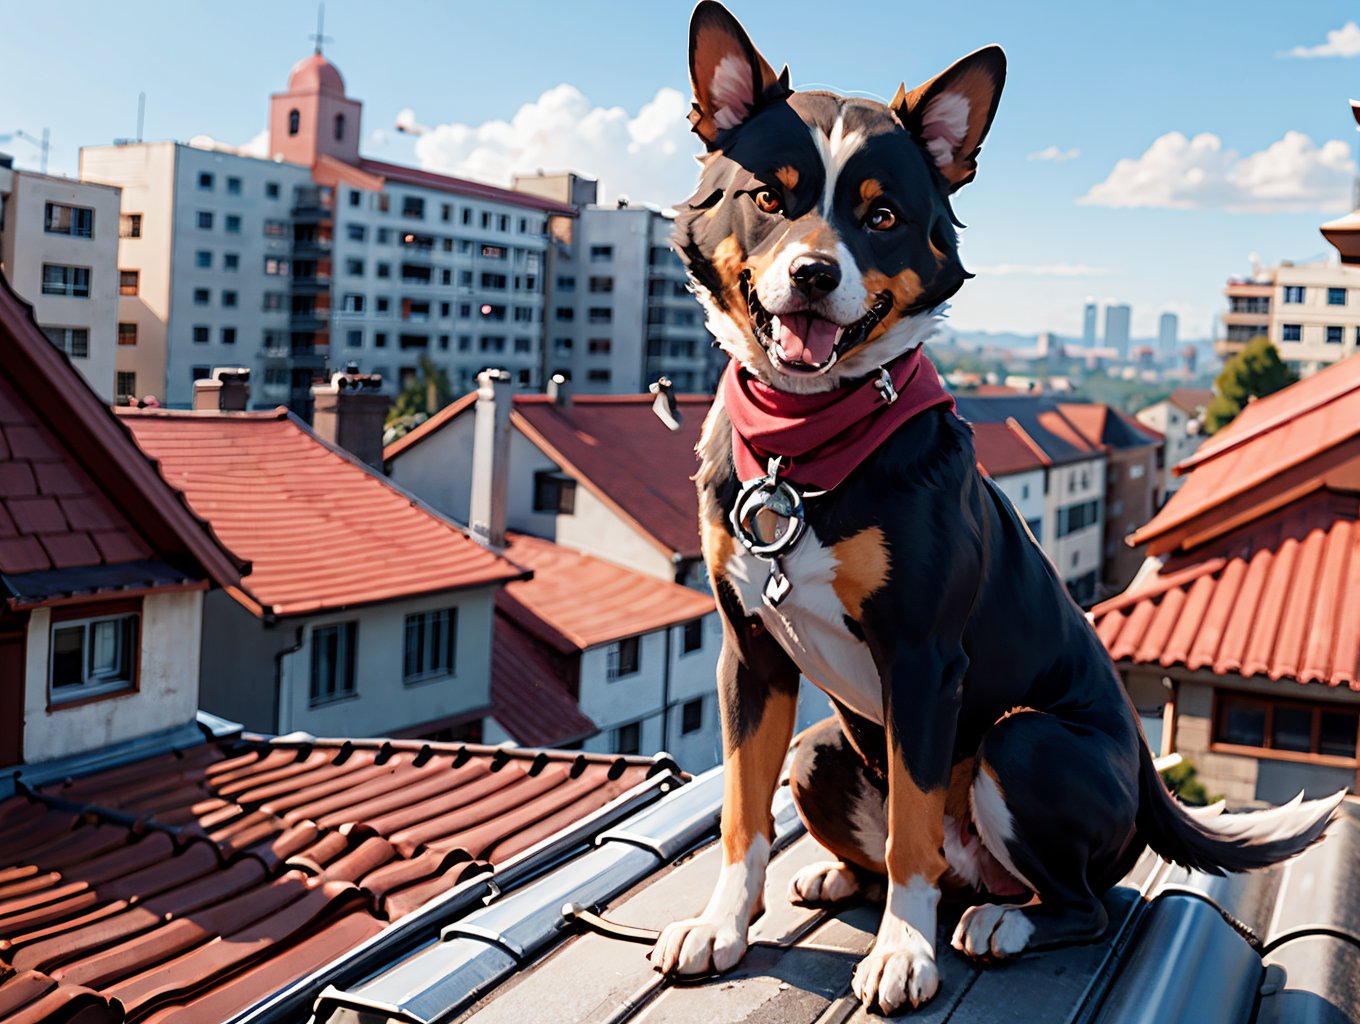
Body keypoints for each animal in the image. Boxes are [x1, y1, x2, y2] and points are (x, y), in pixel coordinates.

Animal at [644, 1, 1338, 1017]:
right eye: (768, 199)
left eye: (882, 216)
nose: (814, 274)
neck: (803, 440)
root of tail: (1146, 784)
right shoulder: (751, 653)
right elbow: (741, 813)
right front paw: (723, 926)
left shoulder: (927, 663)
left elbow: (913, 827)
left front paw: (903, 952)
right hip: (821, 748)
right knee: (883, 835)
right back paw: (840, 877)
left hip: (1028, 742)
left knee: (1072, 896)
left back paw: (1001, 923)